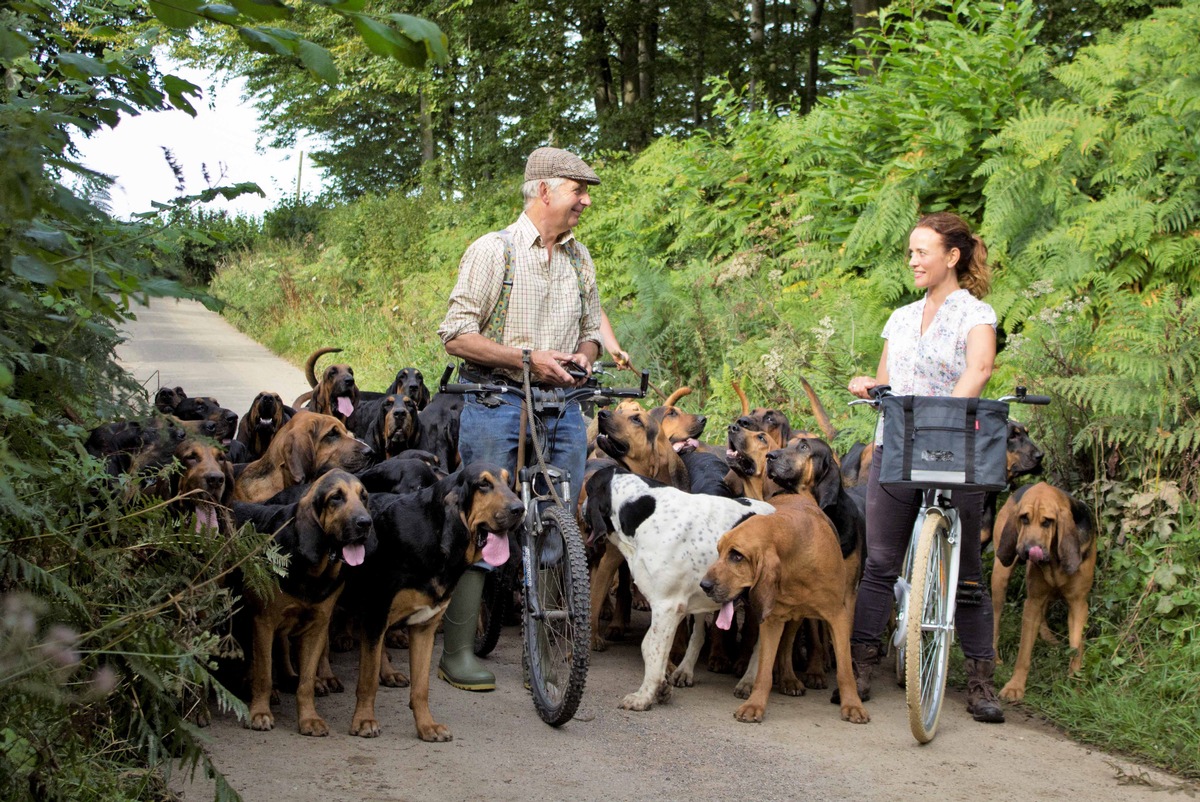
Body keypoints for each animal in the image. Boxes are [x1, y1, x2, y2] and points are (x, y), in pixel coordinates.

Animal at [232, 470, 374, 739]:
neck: (314, 569)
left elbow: (306, 682)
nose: (365, 523)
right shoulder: (263, 622)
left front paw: (309, 719)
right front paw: (259, 713)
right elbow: (264, 674)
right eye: (336, 497)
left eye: (364, 496)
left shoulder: (316, 626)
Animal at [340, 463, 523, 744]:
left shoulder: (424, 626)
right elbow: (367, 680)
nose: (520, 509)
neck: (433, 531)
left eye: (508, 480)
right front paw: (363, 720)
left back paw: (388, 673)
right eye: (483, 484)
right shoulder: (376, 613)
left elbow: (421, 687)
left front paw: (426, 726)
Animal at [583, 465, 772, 710]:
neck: (646, 516)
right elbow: (650, 647)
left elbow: (654, 650)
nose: (582, 507)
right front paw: (661, 686)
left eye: (588, 490)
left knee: (760, 647)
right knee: (699, 635)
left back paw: (748, 681)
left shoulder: (666, 606)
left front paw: (643, 696)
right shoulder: (674, 607)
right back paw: (685, 671)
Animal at [700, 494, 868, 725]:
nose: (704, 585)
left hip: (799, 616)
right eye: (719, 551)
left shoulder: (837, 616)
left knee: (788, 644)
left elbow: (845, 670)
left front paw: (852, 705)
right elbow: (763, 671)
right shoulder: (771, 621)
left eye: (737, 556)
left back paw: (789, 677)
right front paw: (755, 705)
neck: (794, 561)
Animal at [993, 482, 1099, 701]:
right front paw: (1015, 687)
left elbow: (1076, 648)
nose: (1028, 550)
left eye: (1047, 522)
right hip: (1000, 577)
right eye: (1024, 518)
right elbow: (1024, 652)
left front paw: (1074, 685)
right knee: (994, 619)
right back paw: (994, 658)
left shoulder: (1078, 604)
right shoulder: (1033, 601)